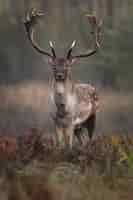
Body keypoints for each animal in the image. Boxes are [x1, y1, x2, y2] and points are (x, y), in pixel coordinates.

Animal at [23, 8, 102, 148]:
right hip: (79, 127)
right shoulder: (55, 121)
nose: (59, 75)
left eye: (67, 66)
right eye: (54, 66)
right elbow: (59, 145)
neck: (62, 109)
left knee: (89, 140)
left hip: (91, 117)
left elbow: (69, 145)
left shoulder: (71, 121)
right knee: (83, 141)